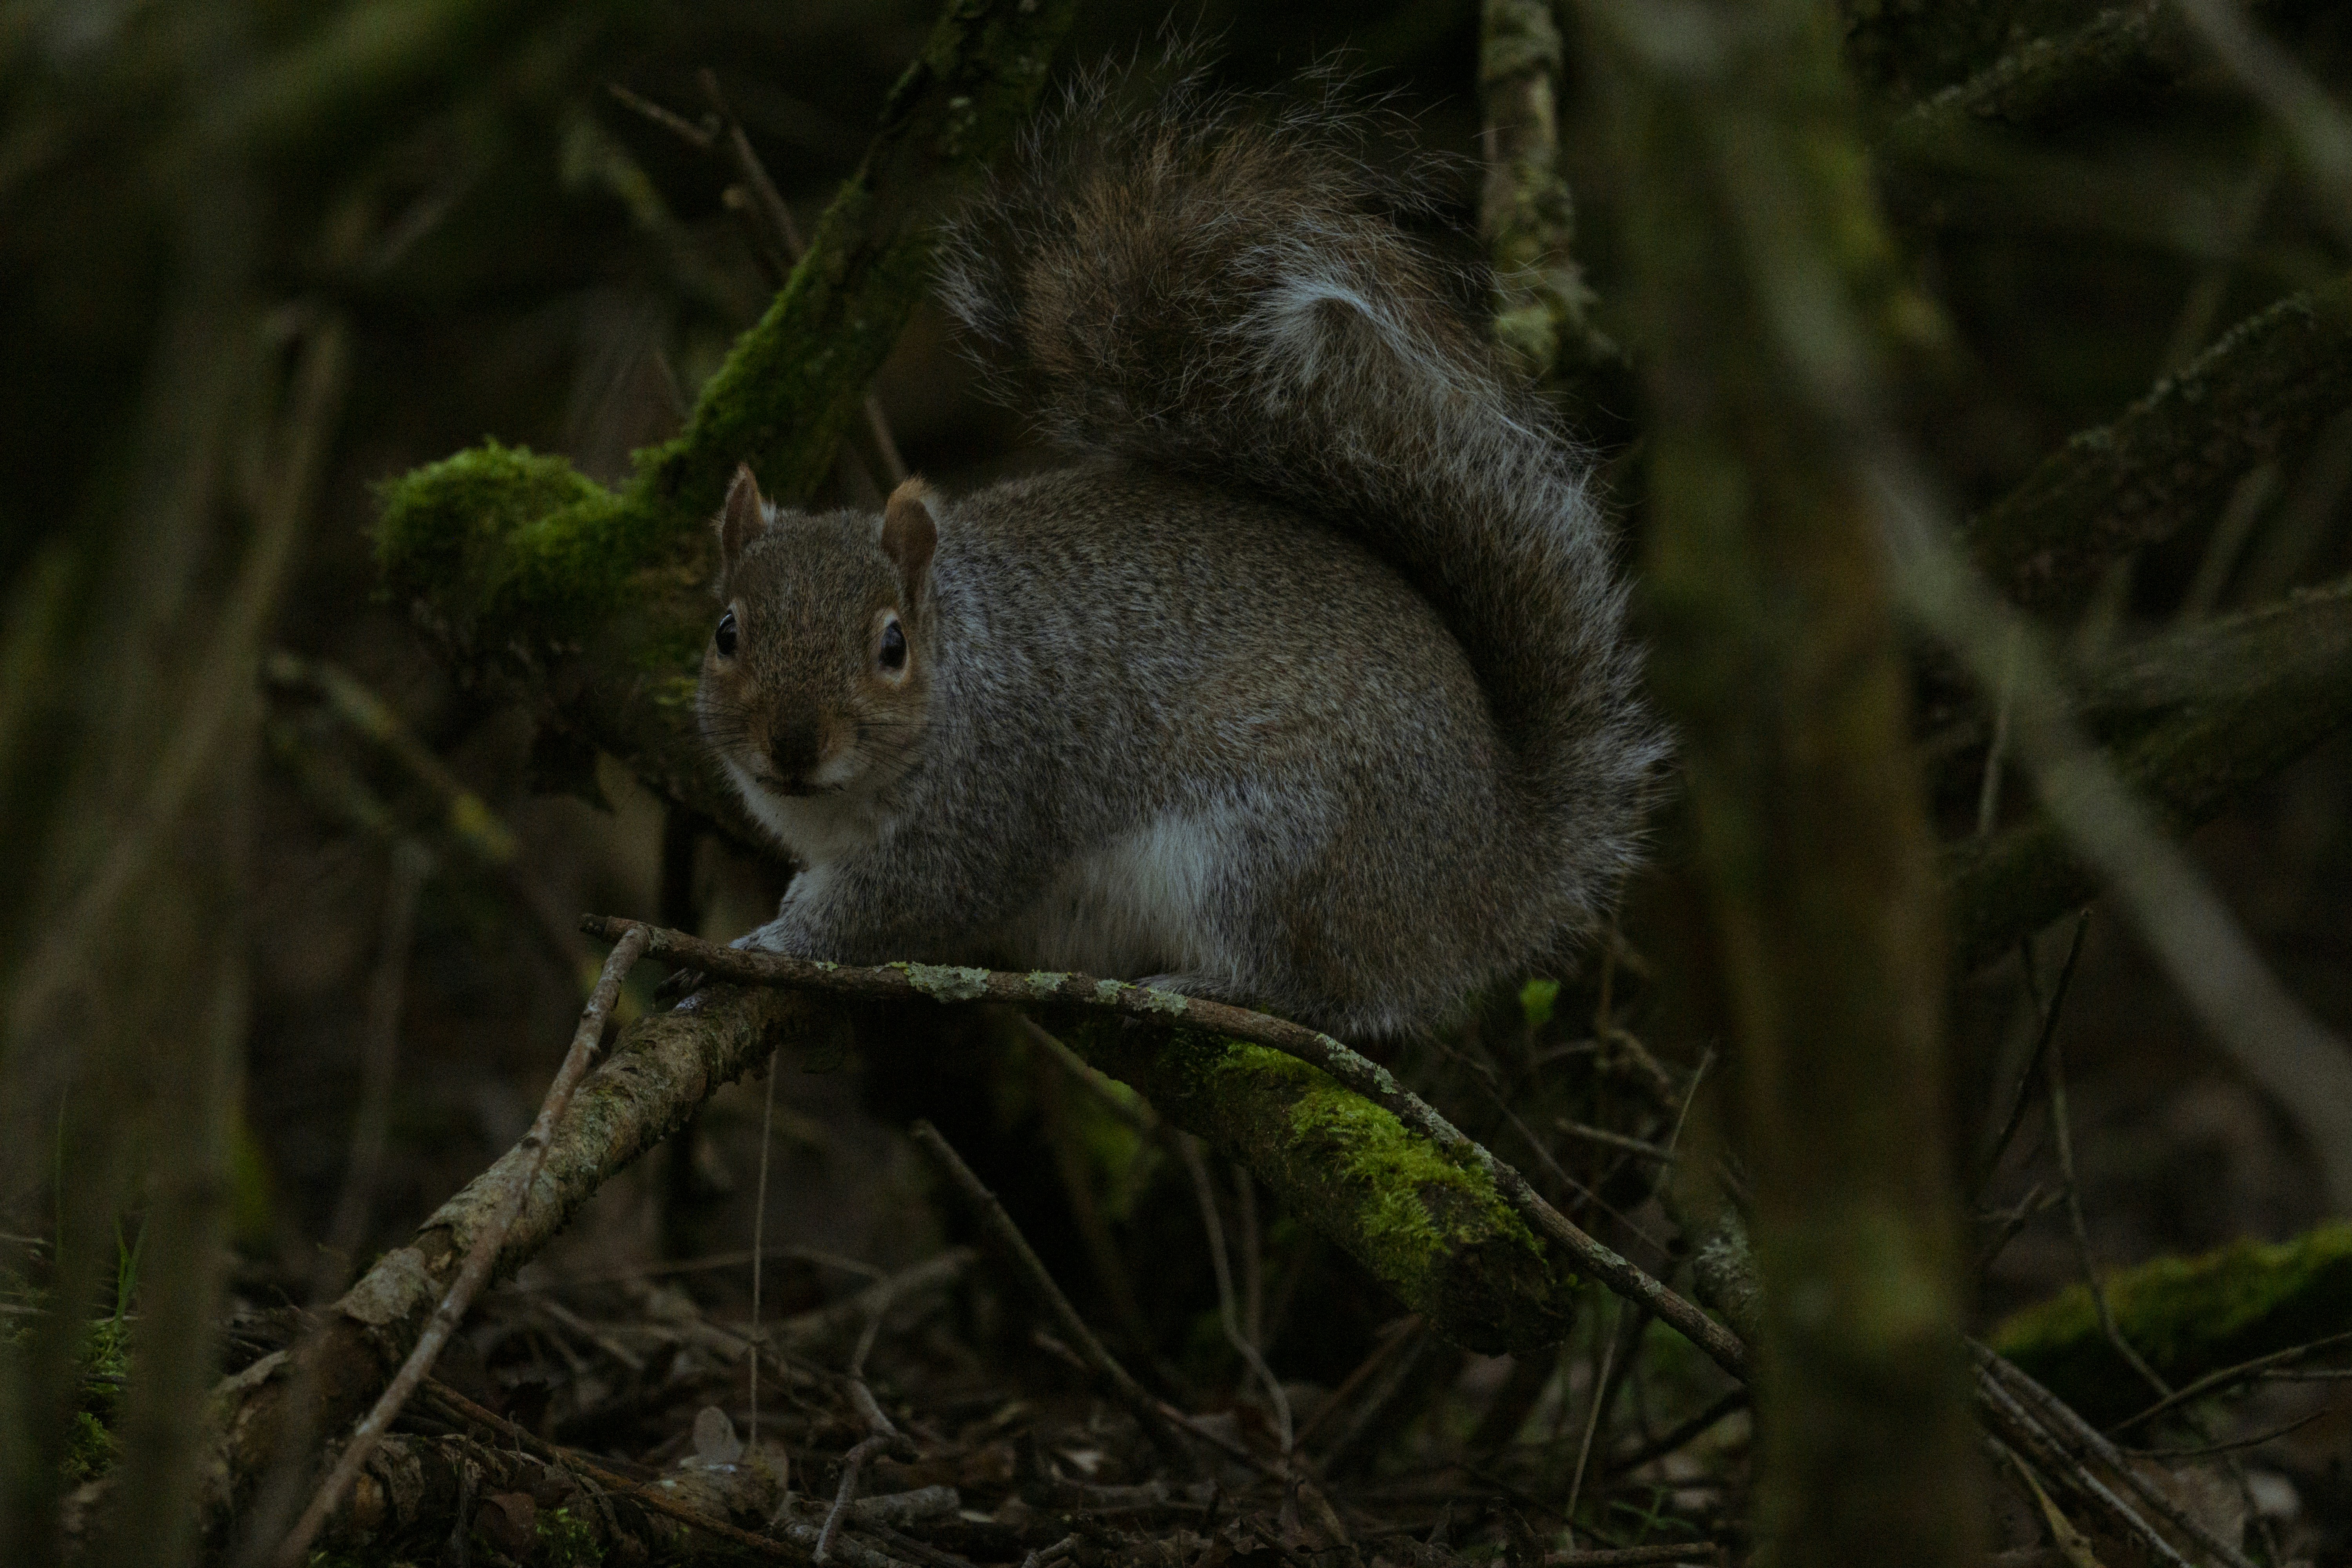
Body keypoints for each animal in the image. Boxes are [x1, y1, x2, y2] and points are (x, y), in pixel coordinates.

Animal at [694, 73, 1666, 1040]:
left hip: (1271, 847)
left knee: (1314, 989)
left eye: (892, 646)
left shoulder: (989, 801)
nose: (793, 743)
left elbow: (901, 900)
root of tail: (1486, 875)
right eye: (726, 631)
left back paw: (1206, 983)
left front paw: (773, 943)